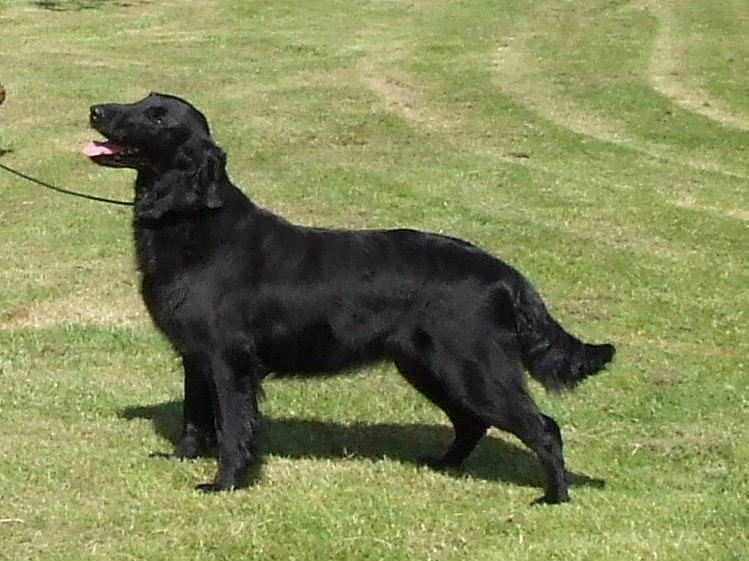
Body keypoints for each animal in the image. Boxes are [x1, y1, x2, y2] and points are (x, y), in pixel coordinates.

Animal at [84, 92, 614, 503]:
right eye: (142, 99)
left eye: (157, 116)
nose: (95, 109)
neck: (191, 217)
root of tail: (506, 273)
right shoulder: (195, 356)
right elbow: (194, 417)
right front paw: (180, 457)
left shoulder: (228, 359)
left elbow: (234, 427)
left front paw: (224, 484)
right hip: (430, 366)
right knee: (471, 424)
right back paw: (442, 464)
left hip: (473, 369)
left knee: (543, 428)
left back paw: (554, 497)